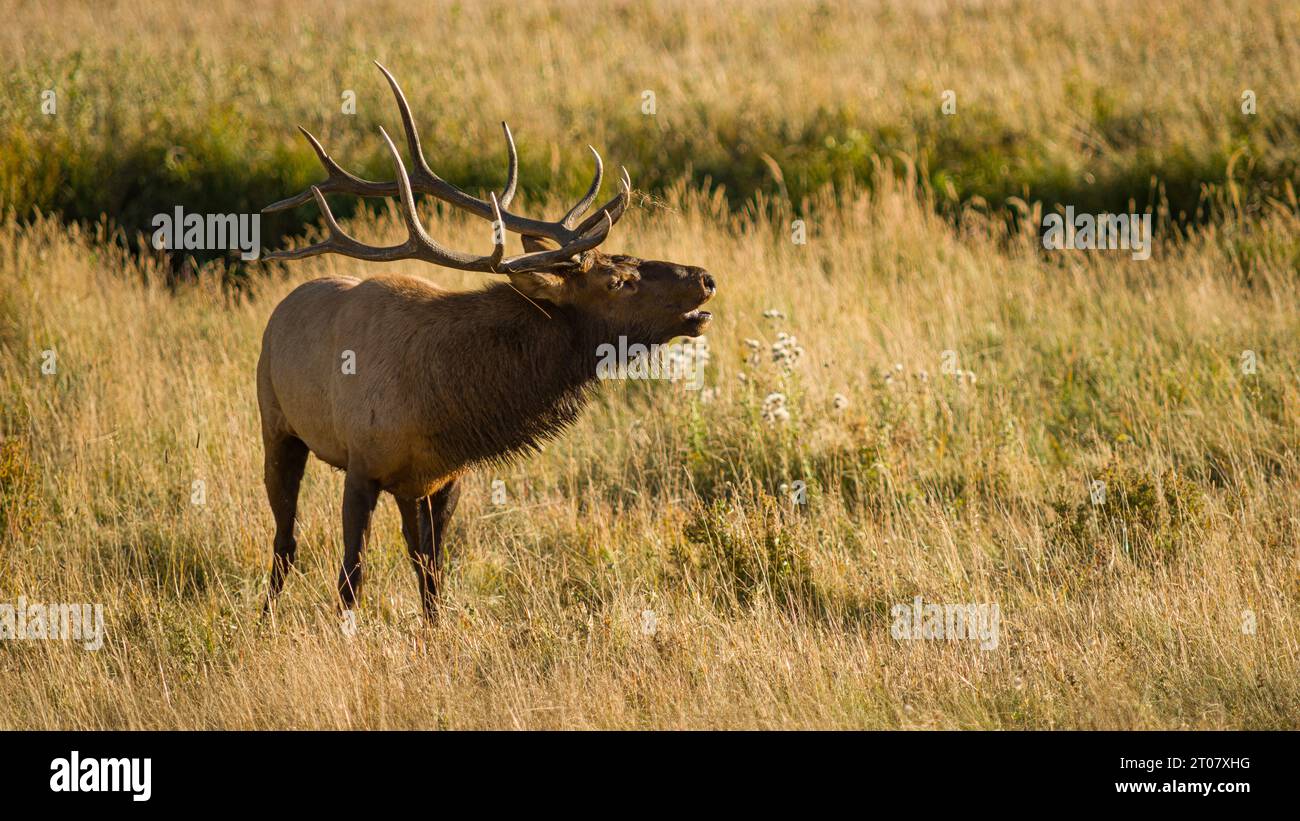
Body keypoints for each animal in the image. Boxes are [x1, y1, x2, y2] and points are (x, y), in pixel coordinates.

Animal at [257, 63, 716, 621]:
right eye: (618, 281)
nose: (706, 278)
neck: (440, 404)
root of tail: (281, 308)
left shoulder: (443, 477)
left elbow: (433, 573)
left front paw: (435, 633)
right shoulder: (361, 466)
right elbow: (351, 576)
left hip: (402, 486)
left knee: (406, 554)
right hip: (277, 425)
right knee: (285, 540)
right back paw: (265, 616)